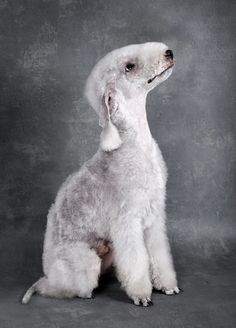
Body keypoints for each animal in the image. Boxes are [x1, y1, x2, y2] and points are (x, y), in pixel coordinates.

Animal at [23, 42, 180, 306]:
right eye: (129, 66)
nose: (169, 52)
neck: (134, 142)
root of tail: (48, 273)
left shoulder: (154, 216)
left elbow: (159, 255)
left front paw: (166, 285)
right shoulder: (127, 221)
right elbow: (136, 260)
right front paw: (141, 295)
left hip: (109, 251)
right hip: (83, 260)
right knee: (57, 288)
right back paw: (82, 292)